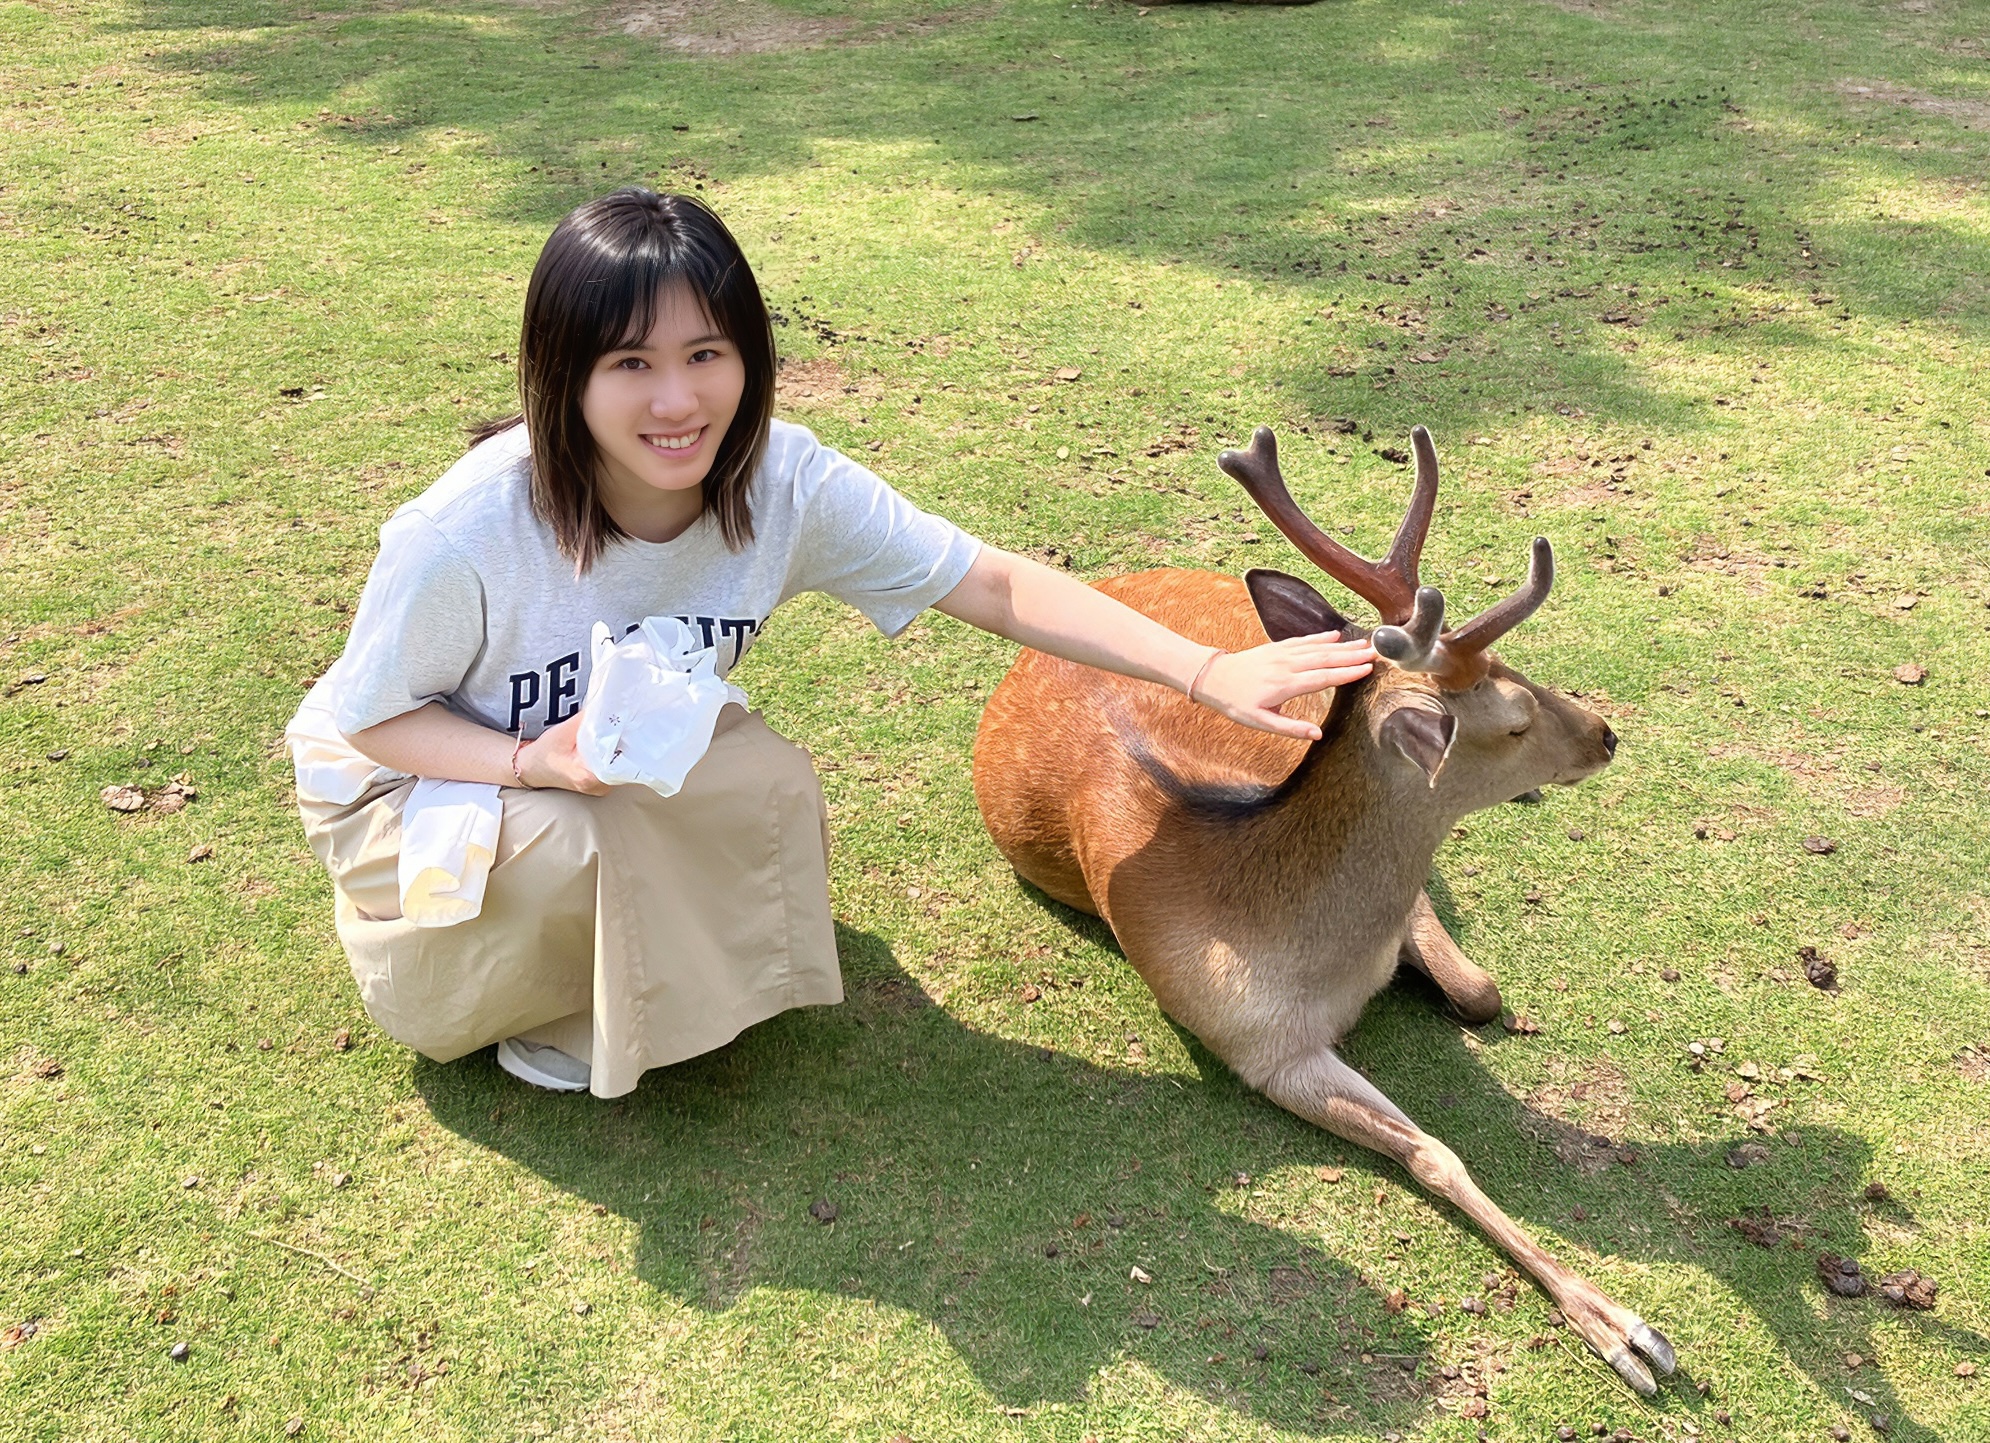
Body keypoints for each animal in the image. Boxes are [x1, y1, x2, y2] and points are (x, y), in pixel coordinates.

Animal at [971, 424, 1677, 1394]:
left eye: (1521, 671)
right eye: (1516, 719)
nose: (1606, 734)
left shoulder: (1407, 921)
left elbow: (1480, 993)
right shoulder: (1260, 1050)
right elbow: (1433, 1150)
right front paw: (1621, 1331)